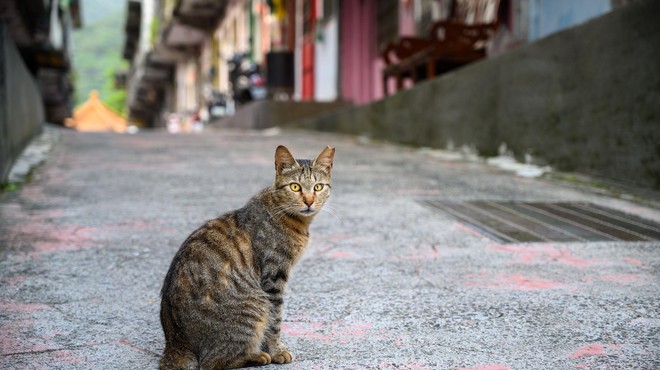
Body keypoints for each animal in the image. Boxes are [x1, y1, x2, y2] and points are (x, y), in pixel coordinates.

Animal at [159, 145, 336, 370]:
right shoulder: (273, 277)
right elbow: (275, 320)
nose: (309, 201)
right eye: (295, 187)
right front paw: (276, 350)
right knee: (213, 361)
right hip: (255, 305)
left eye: (318, 187)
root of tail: (175, 344)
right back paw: (257, 356)